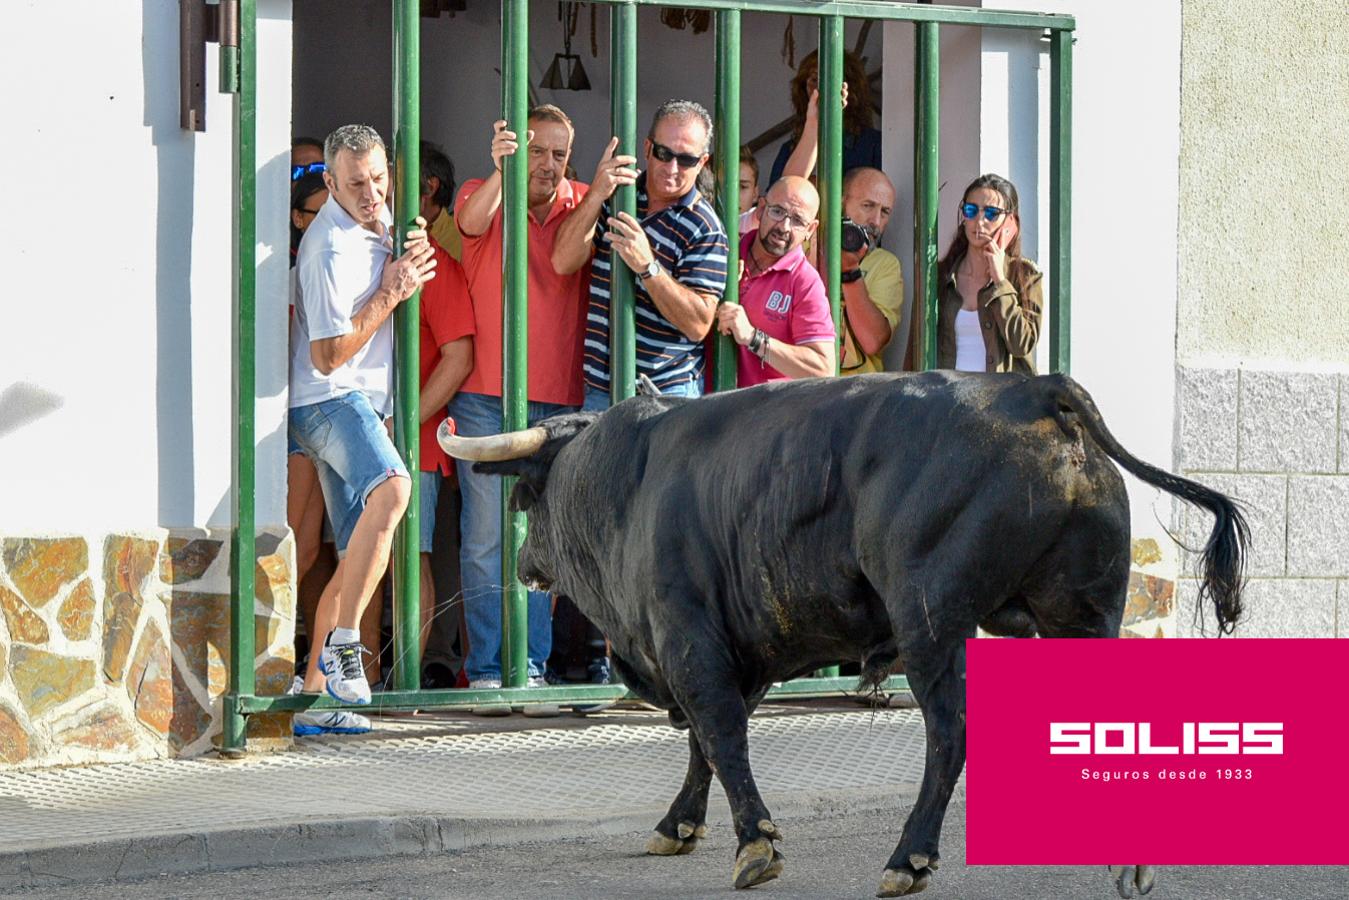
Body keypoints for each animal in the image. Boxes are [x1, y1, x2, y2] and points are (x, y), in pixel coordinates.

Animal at [439, 369, 1241, 895]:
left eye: (526, 498)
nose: (524, 564)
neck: (624, 483)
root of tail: (1035, 390)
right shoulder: (733, 649)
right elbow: (704, 745)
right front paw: (678, 825)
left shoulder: (688, 637)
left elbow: (719, 735)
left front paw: (755, 845)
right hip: (1079, 615)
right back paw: (1128, 862)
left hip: (931, 620)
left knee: (948, 732)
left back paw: (907, 858)